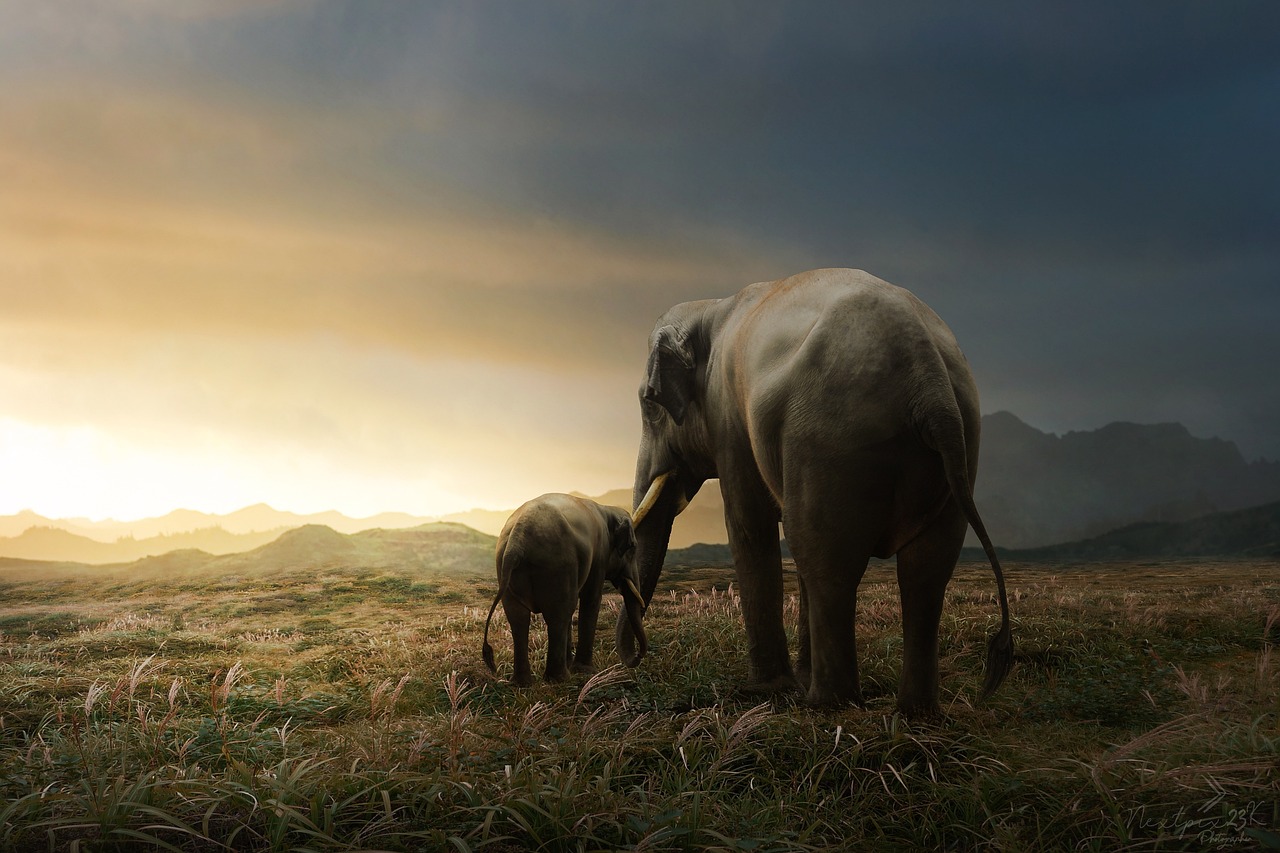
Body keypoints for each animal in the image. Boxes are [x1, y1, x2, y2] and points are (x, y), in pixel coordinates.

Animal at [483, 493, 648, 686]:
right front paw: (586, 671)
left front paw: (573, 665)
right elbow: (591, 598)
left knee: (519, 618)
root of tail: (517, 540)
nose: (637, 657)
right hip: (558, 564)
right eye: (632, 547)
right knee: (559, 613)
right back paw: (560, 679)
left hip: (507, 567)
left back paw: (522, 683)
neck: (607, 509)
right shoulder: (599, 554)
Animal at [615, 267, 1012, 718]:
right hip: (958, 443)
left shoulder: (730, 419)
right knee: (925, 571)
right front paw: (791, 682)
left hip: (830, 435)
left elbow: (749, 525)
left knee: (825, 558)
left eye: (650, 403)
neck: (712, 306)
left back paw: (827, 704)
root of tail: (928, 375)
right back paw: (914, 712)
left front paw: (767, 691)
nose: (634, 658)